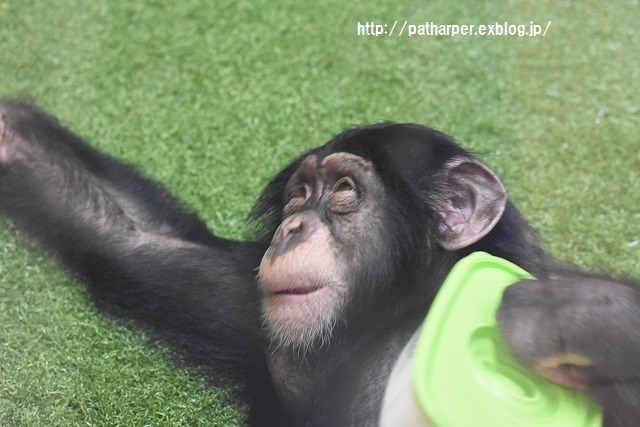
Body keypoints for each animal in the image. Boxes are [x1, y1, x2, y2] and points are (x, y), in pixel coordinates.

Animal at [0, 98, 636, 426]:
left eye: (344, 190)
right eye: (300, 195)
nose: (291, 228)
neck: (390, 320)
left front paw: (582, 314)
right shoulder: (242, 300)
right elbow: (132, 239)